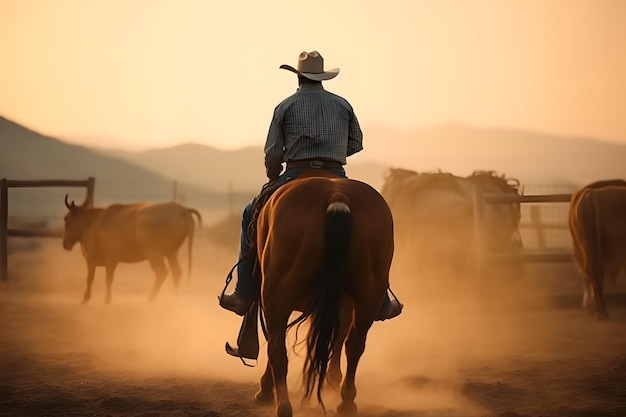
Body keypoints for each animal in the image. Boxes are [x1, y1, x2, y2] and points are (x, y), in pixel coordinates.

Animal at [62, 195, 201, 302]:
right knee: (176, 272)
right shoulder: (111, 261)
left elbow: (93, 279)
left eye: (66, 219)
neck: (92, 224)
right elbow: (106, 279)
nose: (65, 244)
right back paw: (173, 297)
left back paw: (150, 298)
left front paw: (89, 299)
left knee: (162, 272)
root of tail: (181, 209)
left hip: (154, 254)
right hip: (171, 252)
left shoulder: (97, 260)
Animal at [251, 169, 392, 416]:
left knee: (277, 346)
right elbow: (337, 337)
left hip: (276, 292)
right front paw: (333, 379)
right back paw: (346, 402)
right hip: (369, 292)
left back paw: (281, 403)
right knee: (355, 343)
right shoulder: (341, 302)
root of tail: (337, 198)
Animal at [564, 177, 624, 316]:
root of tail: (591, 195)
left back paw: (597, 309)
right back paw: (601, 310)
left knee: (591, 271)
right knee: (595, 272)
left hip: (587, 246)